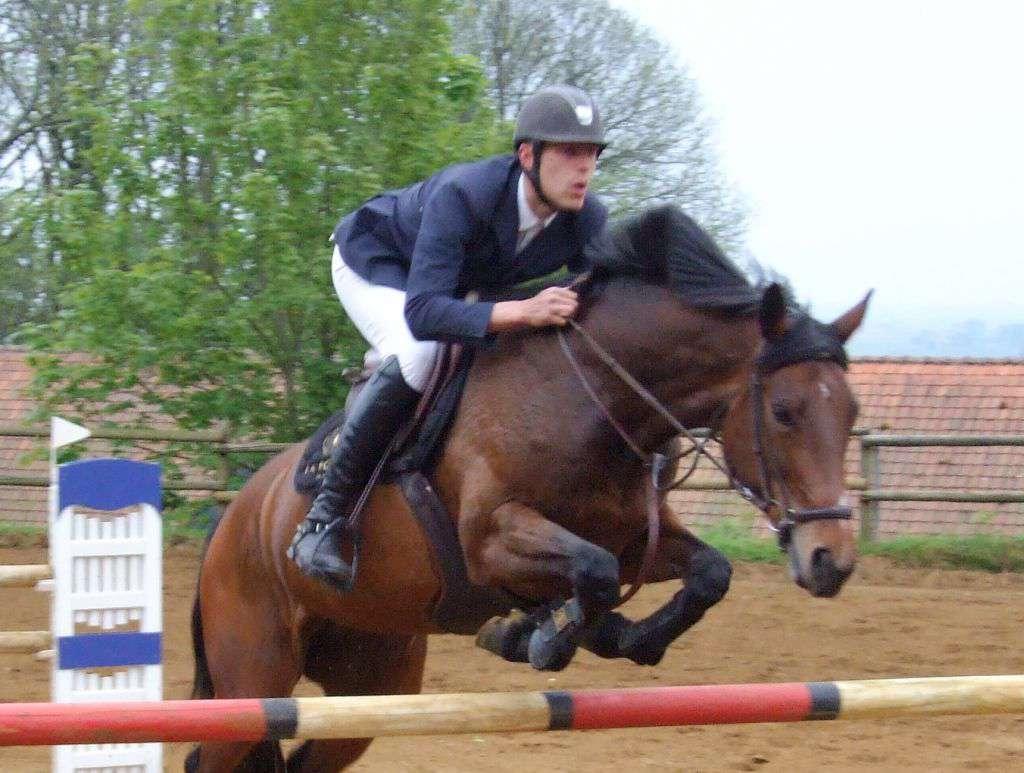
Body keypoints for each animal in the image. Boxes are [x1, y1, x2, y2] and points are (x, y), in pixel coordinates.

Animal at [188, 205, 868, 773]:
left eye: (852, 414)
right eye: (783, 412)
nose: (829, 561)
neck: (590, 401)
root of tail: (231, 521)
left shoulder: (633, 540)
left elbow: (708, 573)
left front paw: (617, 638)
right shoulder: (491, 541)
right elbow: (592, 574)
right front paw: (540, 636)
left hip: (370, 678)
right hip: (253, 677)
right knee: (213, 752)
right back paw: (323, 546)